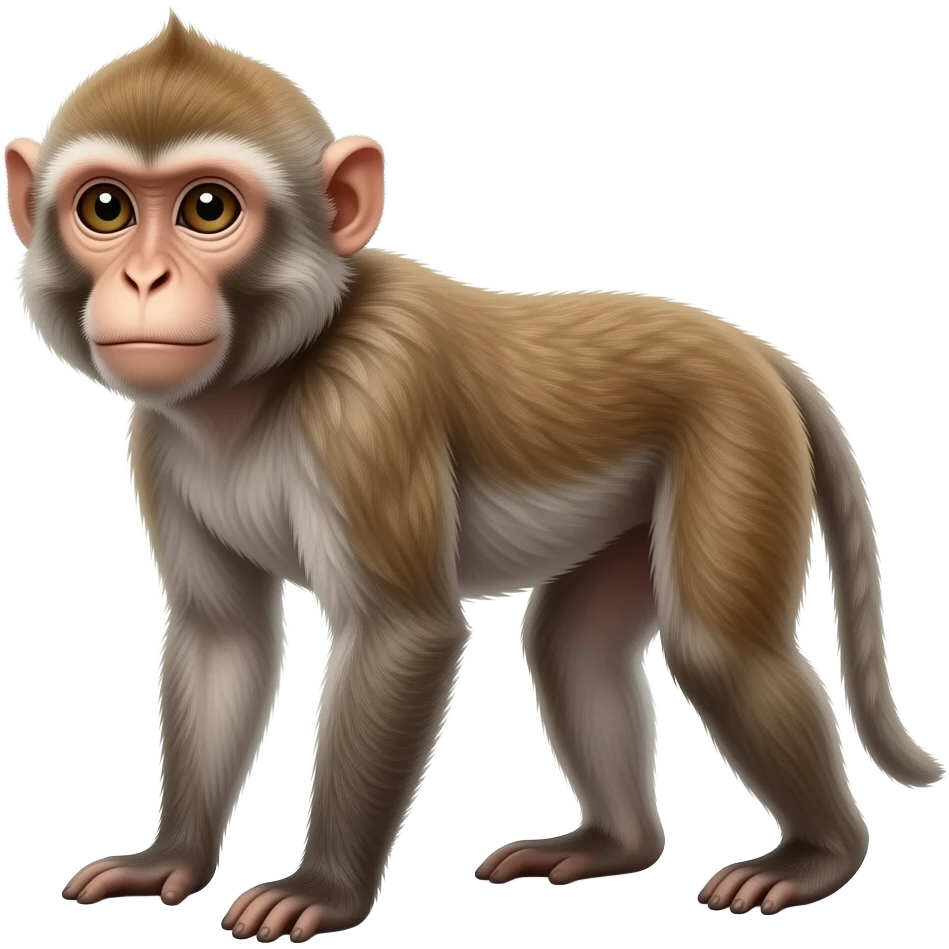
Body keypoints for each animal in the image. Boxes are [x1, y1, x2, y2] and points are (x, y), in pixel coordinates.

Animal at [5, 13, 943, 942]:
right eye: (106, 207)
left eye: (208, 208)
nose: (144, 279)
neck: (266, 376)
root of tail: (753, 348)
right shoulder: (158, 438)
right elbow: (220, 635)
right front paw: (170, 858)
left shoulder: (368, 405)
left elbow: (401, 632)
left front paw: (324, 889)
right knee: (575, 643)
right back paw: (614, 843)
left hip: (735, 439)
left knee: (718, 647)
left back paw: (818, 854)